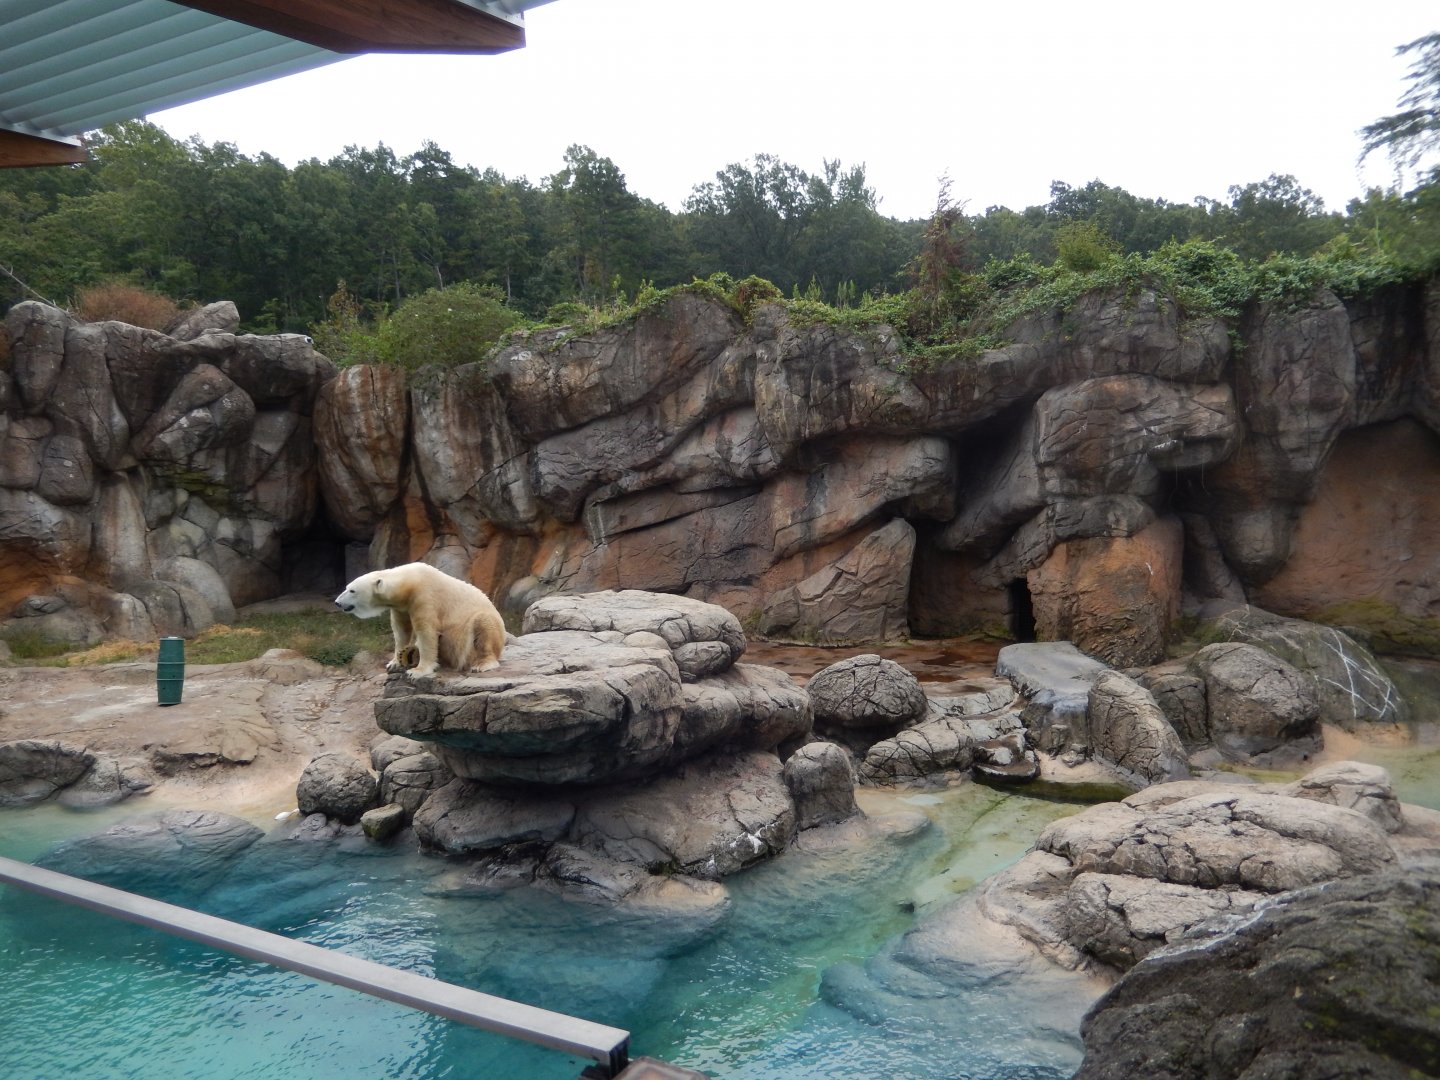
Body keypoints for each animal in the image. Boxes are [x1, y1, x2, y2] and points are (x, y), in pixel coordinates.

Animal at [335, 562, 506, 677]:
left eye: (352, 590)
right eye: (347, 587)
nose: (337, 602)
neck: (410, 581)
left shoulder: (425, 596)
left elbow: (426, 633)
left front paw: (417, 671)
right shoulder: (401, 606)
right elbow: (401, 631)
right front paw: (394, 662)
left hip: (479, 633)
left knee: (483, 625)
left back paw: (482, 664)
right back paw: (409, 653)